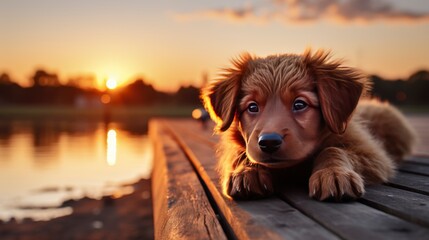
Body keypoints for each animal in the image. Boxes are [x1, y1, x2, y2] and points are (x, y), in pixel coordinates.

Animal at [202, 49, 416, 202]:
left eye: (299, 104)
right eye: (252, 107)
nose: (269, 142)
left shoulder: (372, 154)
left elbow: (334, 149)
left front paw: (333, 173)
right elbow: (242, 153)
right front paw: (247, 171)